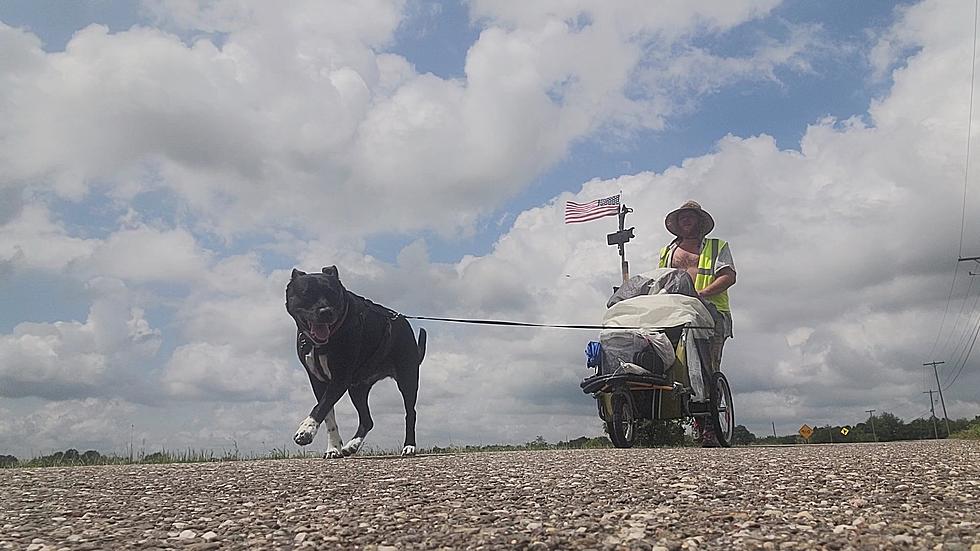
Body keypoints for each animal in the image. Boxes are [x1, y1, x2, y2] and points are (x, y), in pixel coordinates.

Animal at [282, 266, 424, 458]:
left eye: (333, 294)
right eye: (306, 293)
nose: (325, 311)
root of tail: (402, 319)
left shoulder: (340, 379)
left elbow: (320, 407)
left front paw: (305, 431)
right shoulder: (317, 380)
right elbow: (327, 413)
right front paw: (333, 448)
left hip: (407, 378)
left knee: (410, 413)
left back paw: (409, 446)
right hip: (357, 388)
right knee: (367, 420)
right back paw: (352, 445)